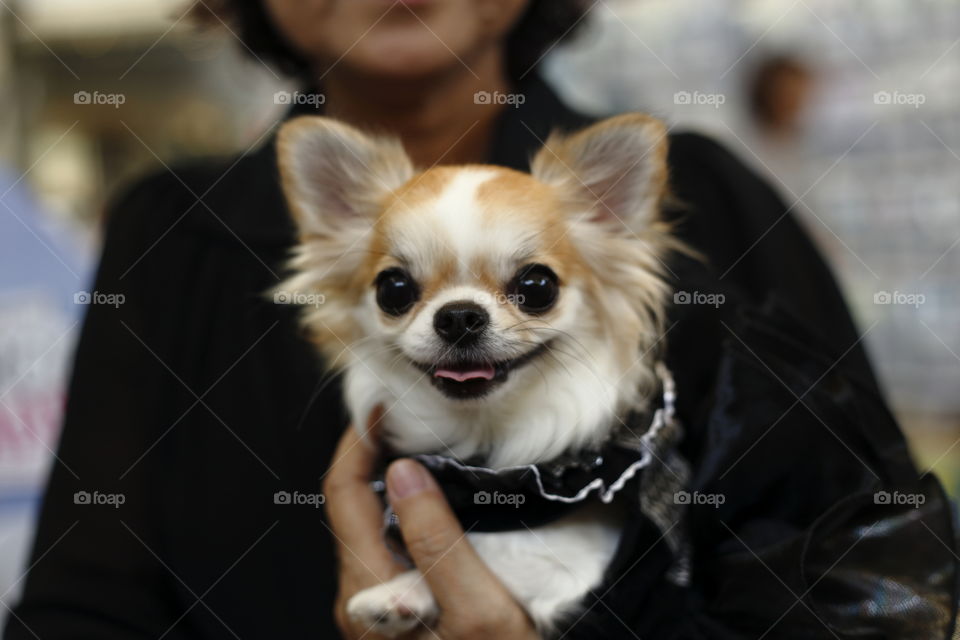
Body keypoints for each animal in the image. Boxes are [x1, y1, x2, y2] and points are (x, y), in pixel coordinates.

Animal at [274, 111, 672, 636]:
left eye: (537, 286)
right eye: (393, 289)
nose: (460, 315)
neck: (481, 445)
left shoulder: (576, 564)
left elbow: (496, 555)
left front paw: (405, 589)